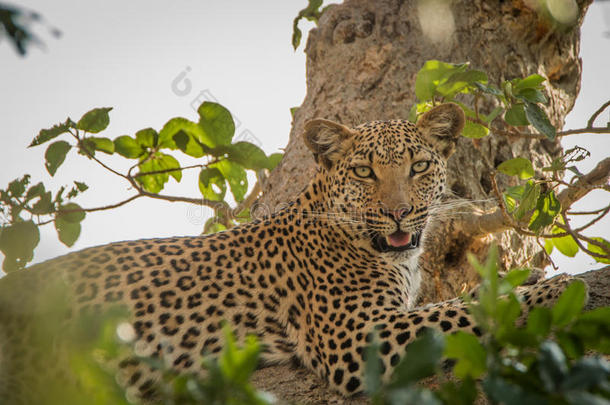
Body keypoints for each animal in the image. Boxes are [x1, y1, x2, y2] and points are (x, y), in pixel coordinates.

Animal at [0, 102, 576, 400]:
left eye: (418, 167)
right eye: (364, 171)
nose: (398, 212)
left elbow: (451, 303)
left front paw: (522, 280)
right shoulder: (358, 337)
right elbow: (456, 313)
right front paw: (550, 288)